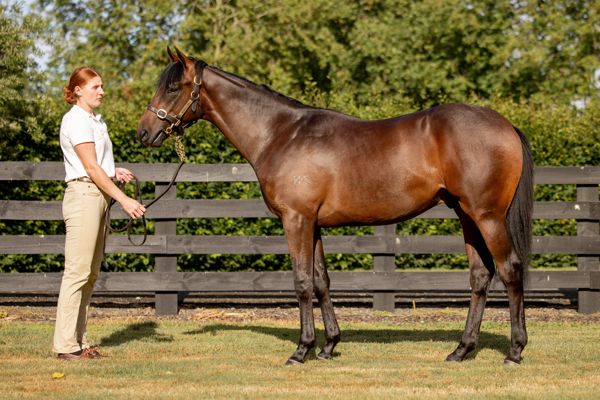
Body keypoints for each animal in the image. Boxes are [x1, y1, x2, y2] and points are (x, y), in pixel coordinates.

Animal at [137, 47, 533, 366]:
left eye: (173, 87)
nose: (143, 132)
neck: (281, 133)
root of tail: (507, 126)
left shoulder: (296, 220)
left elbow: (301, 282)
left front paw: (301, 350)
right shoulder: (312, 223)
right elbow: (321, 281)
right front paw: (328, 346)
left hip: (487, 217)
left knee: (510, 270)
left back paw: (514, 351)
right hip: (467, 216)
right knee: (480, 276)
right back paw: (461, 350)